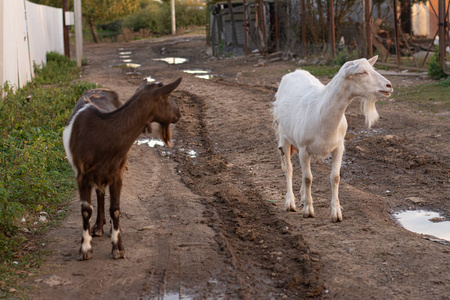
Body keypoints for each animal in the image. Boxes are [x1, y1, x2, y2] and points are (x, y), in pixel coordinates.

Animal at [62, 78, 181, 260]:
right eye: (168, 96)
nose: (179, 113)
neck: (104, 135)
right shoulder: (82, 175)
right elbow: (86, 210)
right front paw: (85, 248)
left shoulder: (117, 173)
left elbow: (116, 209)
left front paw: (118, 247)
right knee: (99, 193)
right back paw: (97, 227)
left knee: (102, 192)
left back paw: (106, 227)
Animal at [272, 55, 392, 221]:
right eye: (362, 72)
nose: (389, 85)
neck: (321, 113)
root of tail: (294, 72)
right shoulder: (303, 148)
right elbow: (308, 178)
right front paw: (308, 210)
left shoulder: (339, 147)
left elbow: (335, 177)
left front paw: (336, 213)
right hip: (284, 137)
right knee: (289, 168)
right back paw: (290, 202)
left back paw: (302, 197)